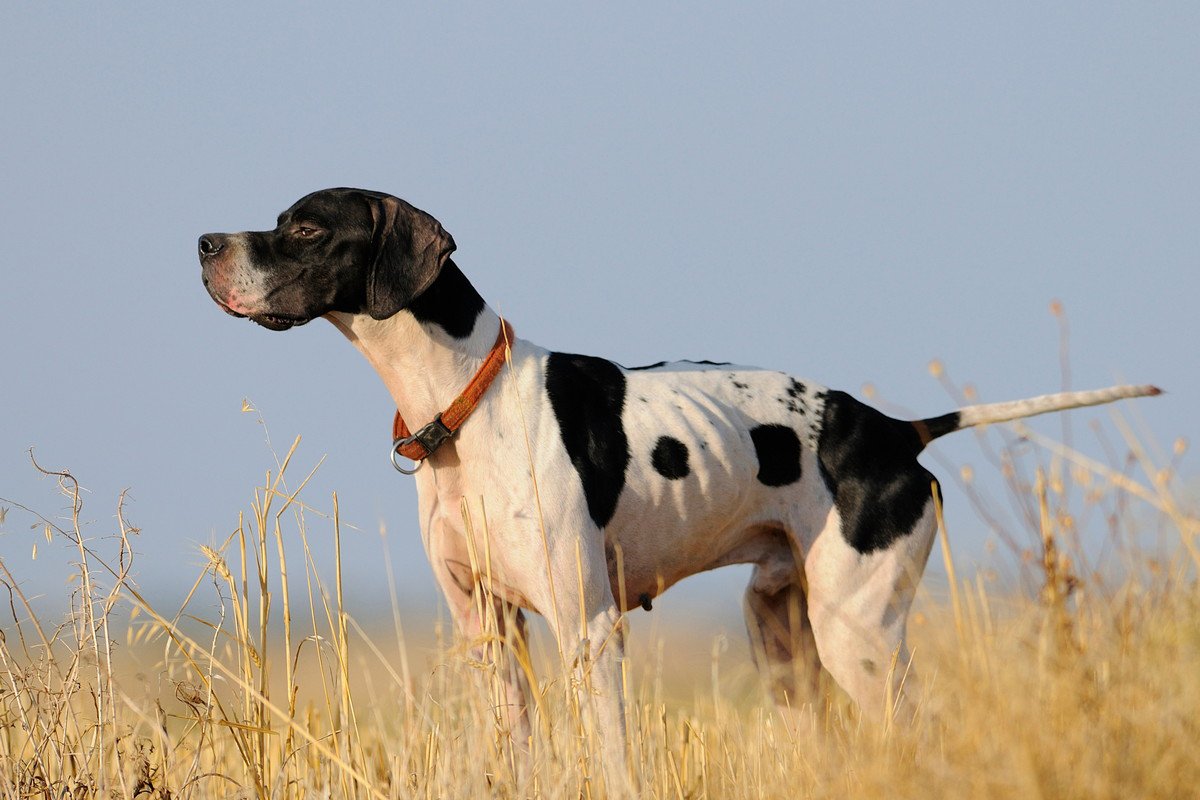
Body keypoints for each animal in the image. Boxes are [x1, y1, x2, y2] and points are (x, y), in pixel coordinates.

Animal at [201, 189, 1156, 796]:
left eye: (307, 227)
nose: (206, 244)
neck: (467, 402)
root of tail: (894, 431)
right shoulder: (490, 636)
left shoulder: (589, 634)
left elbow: (615, 759)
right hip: (785, 642)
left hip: (860, 638)